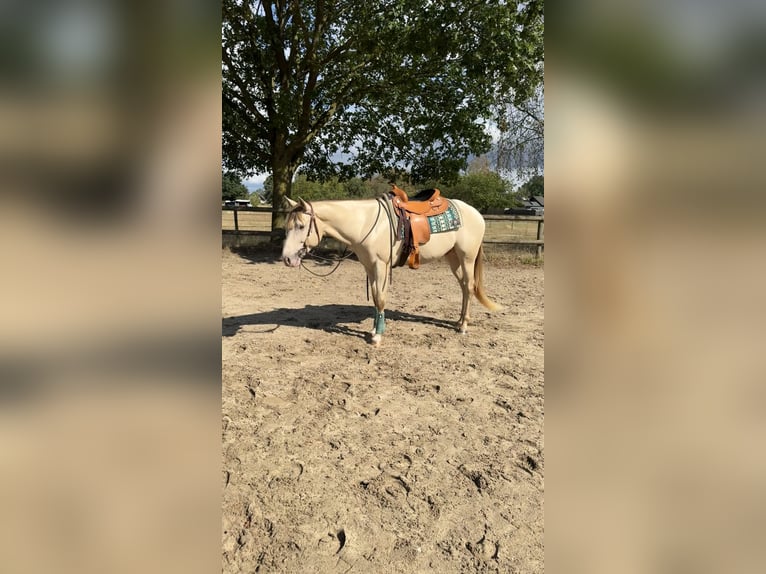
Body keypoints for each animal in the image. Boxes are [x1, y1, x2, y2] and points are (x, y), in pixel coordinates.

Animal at [281, 194, 501, 345]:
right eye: (287, 226)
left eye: (301, 226)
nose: (287, 258)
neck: (365, 223)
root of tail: (476, 213)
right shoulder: (370, 266)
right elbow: (376, 296)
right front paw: (373, 330)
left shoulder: (381, 265)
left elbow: (380, 298)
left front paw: (377, 336)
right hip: (453, 258)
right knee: (464, 287)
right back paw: (459, 321)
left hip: (467, 258)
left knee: (470, 287)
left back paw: (463, 326)